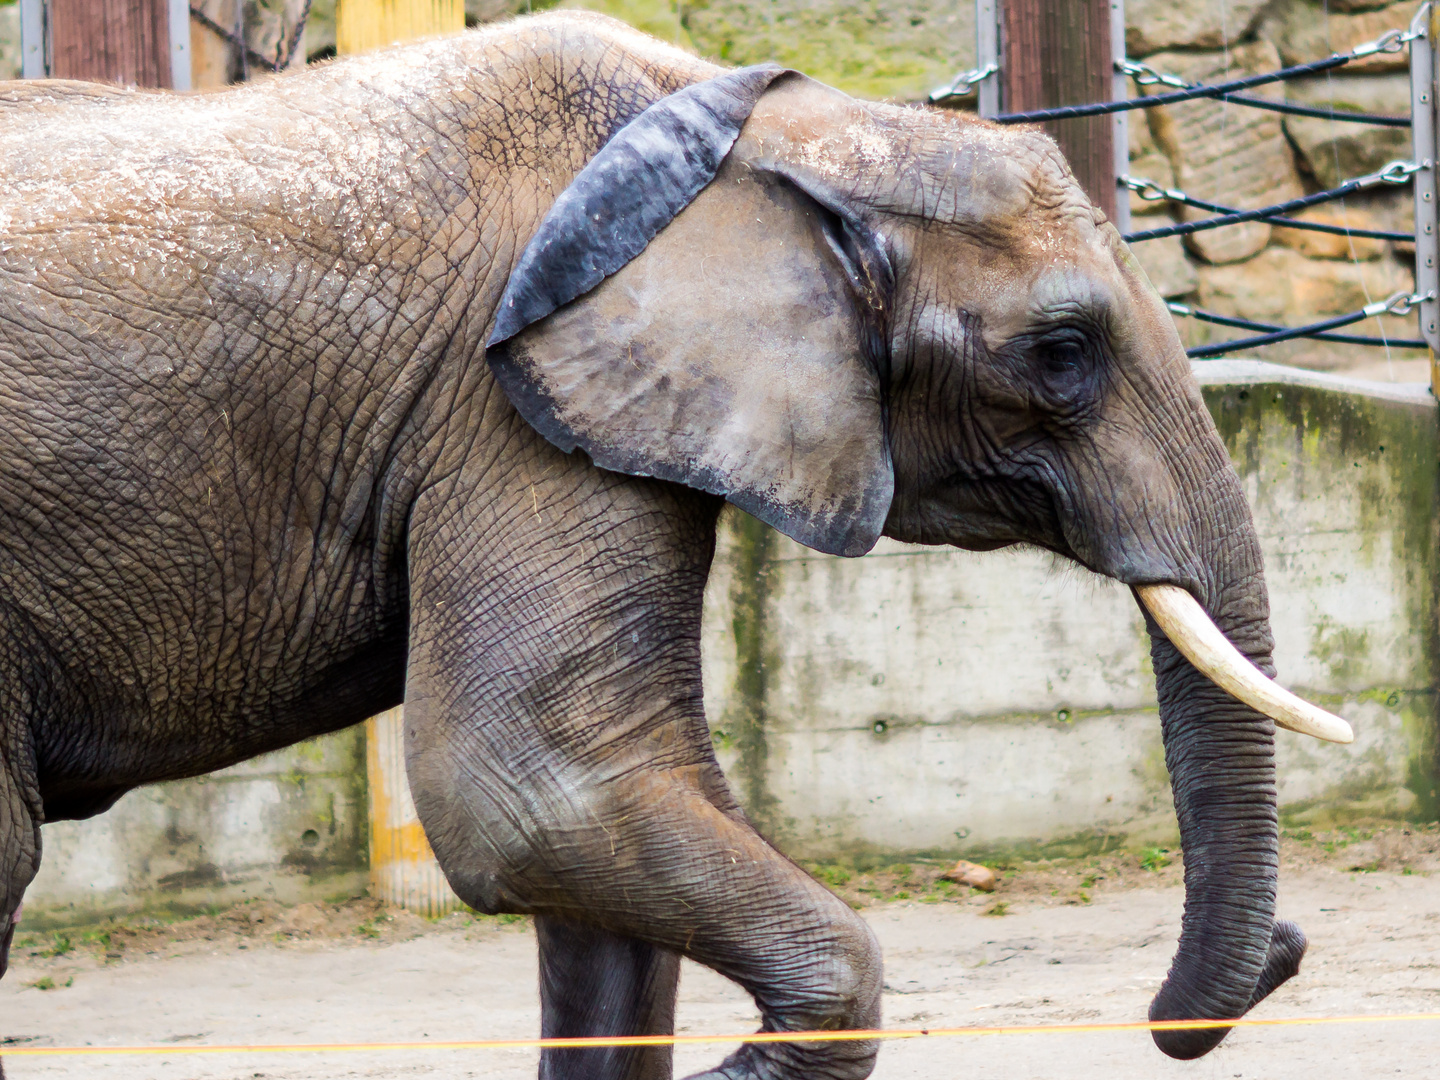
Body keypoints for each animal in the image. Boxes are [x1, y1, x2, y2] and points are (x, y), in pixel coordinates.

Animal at [0, 10, 1347, 1080]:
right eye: (1063, 355)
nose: (1287, 948)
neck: (770, 129)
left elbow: (606, 840)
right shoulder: (507, 398)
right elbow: (536, 786)